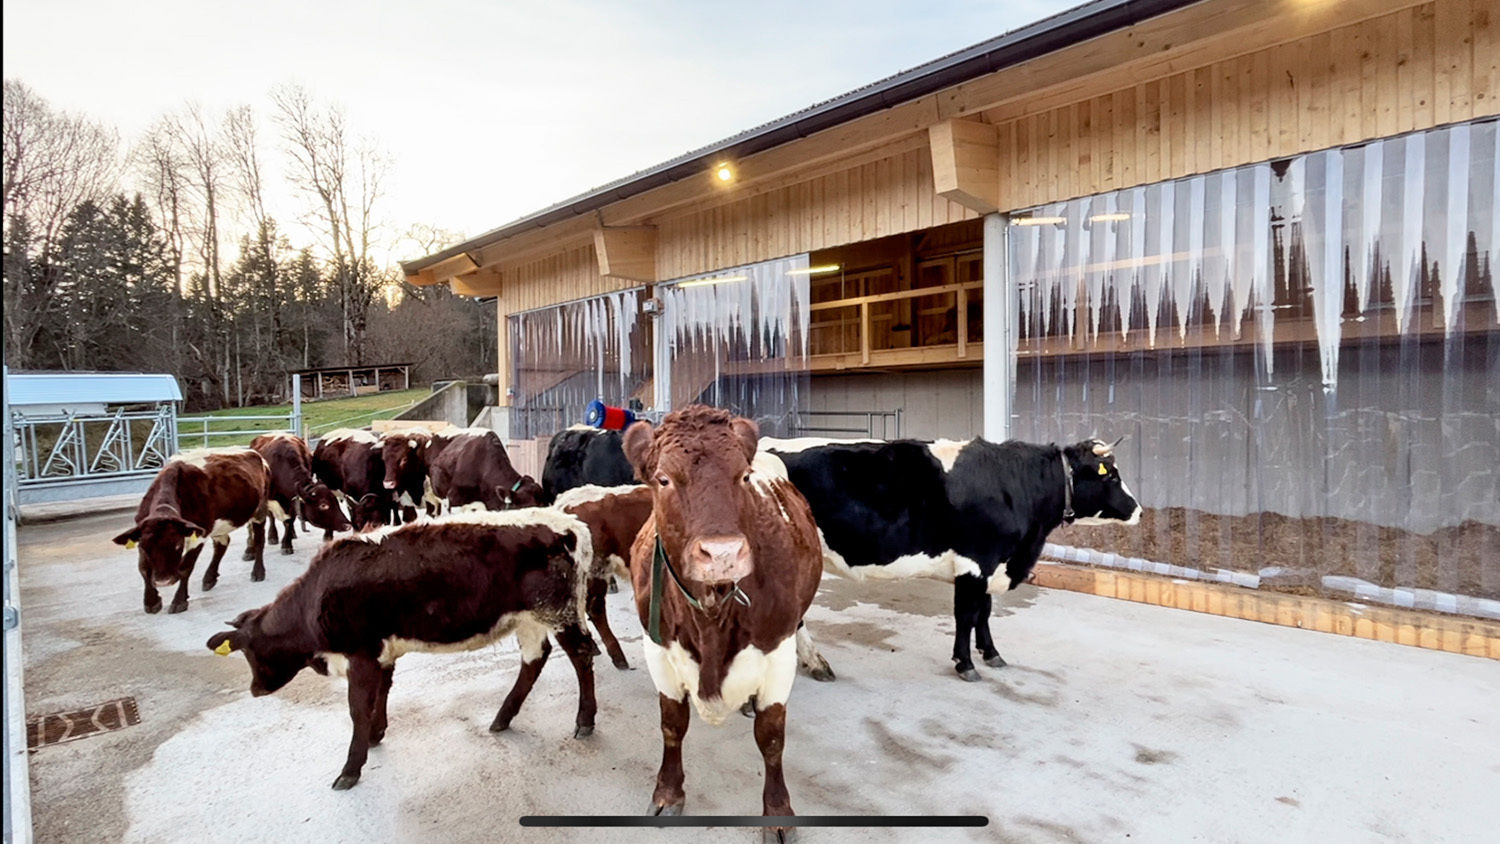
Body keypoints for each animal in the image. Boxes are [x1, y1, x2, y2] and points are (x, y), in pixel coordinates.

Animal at [115, 449, 274, 614]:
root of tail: (253, 452)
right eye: (145, 548)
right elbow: (143, 569)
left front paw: (179, 601)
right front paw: (151, 602)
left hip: (259, 510)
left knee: (259, 540)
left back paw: (258, 572)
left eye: (178, 546)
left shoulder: (198, 536)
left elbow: (185, 567)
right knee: (222, 545)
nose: (163, 581)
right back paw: (209, 578)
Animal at [204, 509, 597, 791]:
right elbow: (382, 692)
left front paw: (351, 768)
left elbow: (357, 708)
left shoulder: (360, 654)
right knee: (534, 660)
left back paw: (584, 720)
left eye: (250, 652)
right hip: (529, 618)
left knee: (582, 655)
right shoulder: (381, 652)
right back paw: (503, 717)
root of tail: (569, 525)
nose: (255, 689)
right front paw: (376, 734)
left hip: (558, 612)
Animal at [627, 404, 828, 833]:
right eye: (663, 479)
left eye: (743, 476)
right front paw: (668, 793)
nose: (722, 554)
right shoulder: (658, 648)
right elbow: (672, 723)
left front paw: (778, 813)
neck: (711, 613)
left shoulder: (777, 651)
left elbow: (771, 737)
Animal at [768, 434, 1140, 680]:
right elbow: (966, 614)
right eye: (1112, 475)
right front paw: (965, 663)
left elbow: (984, 612)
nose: (1138, 510)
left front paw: (991, 653)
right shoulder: (975, 563)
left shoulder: (990, 566)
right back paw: (813, 663)